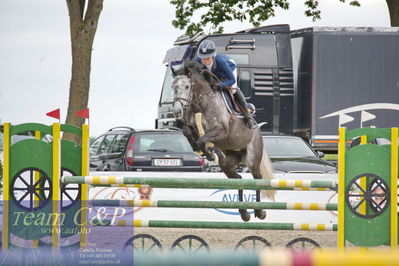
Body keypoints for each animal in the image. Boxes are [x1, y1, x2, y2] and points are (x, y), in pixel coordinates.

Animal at [172, 61, 276, 221]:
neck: (201, 103)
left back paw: (259, 211)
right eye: (173, 87)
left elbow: (203, 139)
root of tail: (258, 129)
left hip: (252, 158)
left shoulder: (221, 131)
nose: (177, 112)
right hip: (228, 162)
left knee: (257, 178)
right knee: (238, 178)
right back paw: (244, 213)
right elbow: (187, 132)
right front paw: (202, 150)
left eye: (187, 86)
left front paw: (209, 153)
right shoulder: (192, 128)